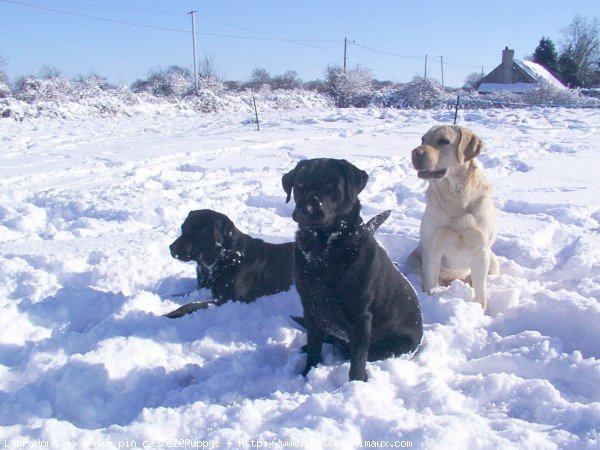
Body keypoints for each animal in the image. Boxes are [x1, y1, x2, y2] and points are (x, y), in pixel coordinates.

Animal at [284, 157, 424, 380]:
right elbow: (314, 346)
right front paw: (307, 373)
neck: (323, 252)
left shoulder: (361, 317)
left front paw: (355, 384)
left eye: (330, 185)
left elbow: (357, 361)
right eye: (299, 184)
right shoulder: (311, 307)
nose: (304, 210)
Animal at [406, 125, 500, 312]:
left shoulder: (481, 251)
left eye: (444, 141)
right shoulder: (432, 251)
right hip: (413, 260)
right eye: (423, 139)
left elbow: (481, 292)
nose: (415, 152)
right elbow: (430, 287)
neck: (457, 197)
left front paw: (481, 310)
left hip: (493, 260)